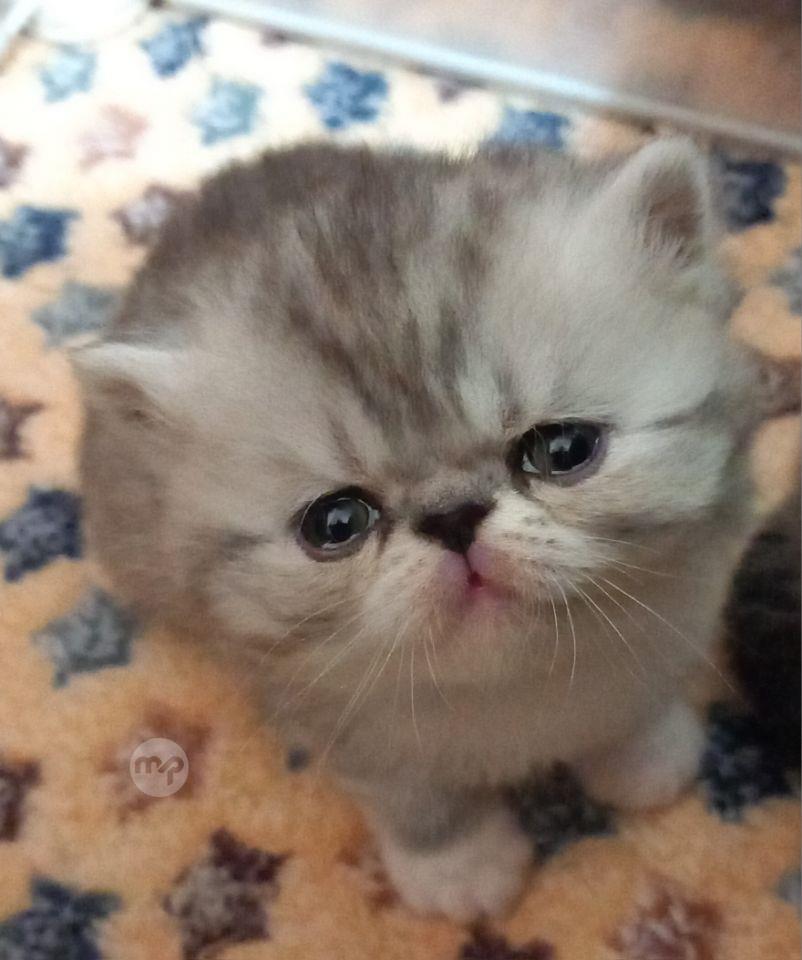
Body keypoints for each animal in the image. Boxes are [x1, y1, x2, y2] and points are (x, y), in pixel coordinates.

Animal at [76, 138, 773, 920]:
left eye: (563, 450)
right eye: (336, 522)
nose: (452, 517)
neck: (516, 690)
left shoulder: (682, 608)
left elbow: (638, 698)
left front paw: (645, 756)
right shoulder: (335, 719)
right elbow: (420, 800)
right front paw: (460, 868)